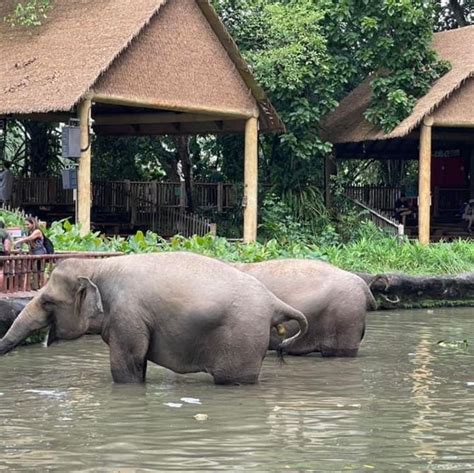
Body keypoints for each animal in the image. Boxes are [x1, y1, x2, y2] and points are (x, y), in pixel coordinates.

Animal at [0, 251, 308, 384]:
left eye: (47, 301)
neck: (98, 265)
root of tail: (273, 301)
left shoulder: (127, 314)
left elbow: (127, 366)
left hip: (241, 340)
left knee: (233, 380)